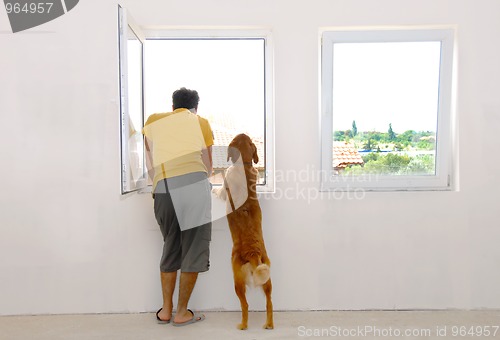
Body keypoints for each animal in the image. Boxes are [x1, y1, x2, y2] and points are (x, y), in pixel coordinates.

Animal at [212, 133, 274, 330]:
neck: (245, 165)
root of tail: (253, 253)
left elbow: (220, 190)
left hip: (237, 281)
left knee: (245, 305)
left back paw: (243, 325)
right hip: (267, 280)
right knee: (269, 303)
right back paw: (269, 324)